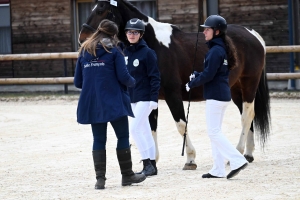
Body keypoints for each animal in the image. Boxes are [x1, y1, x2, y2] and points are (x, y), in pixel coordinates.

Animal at [78, 0, 270, 170]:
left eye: (101, 10)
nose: (82, 37)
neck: (154, 45)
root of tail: (253, 35)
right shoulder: (152, 96)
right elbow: (152, 126)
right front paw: (153, 160)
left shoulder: (173, 95)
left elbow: (181, 125)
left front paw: (190, 158)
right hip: (235, 89)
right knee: (247, 116)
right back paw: (248, 154)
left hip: (249, 83)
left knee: (247, 115)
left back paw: (238, 153)